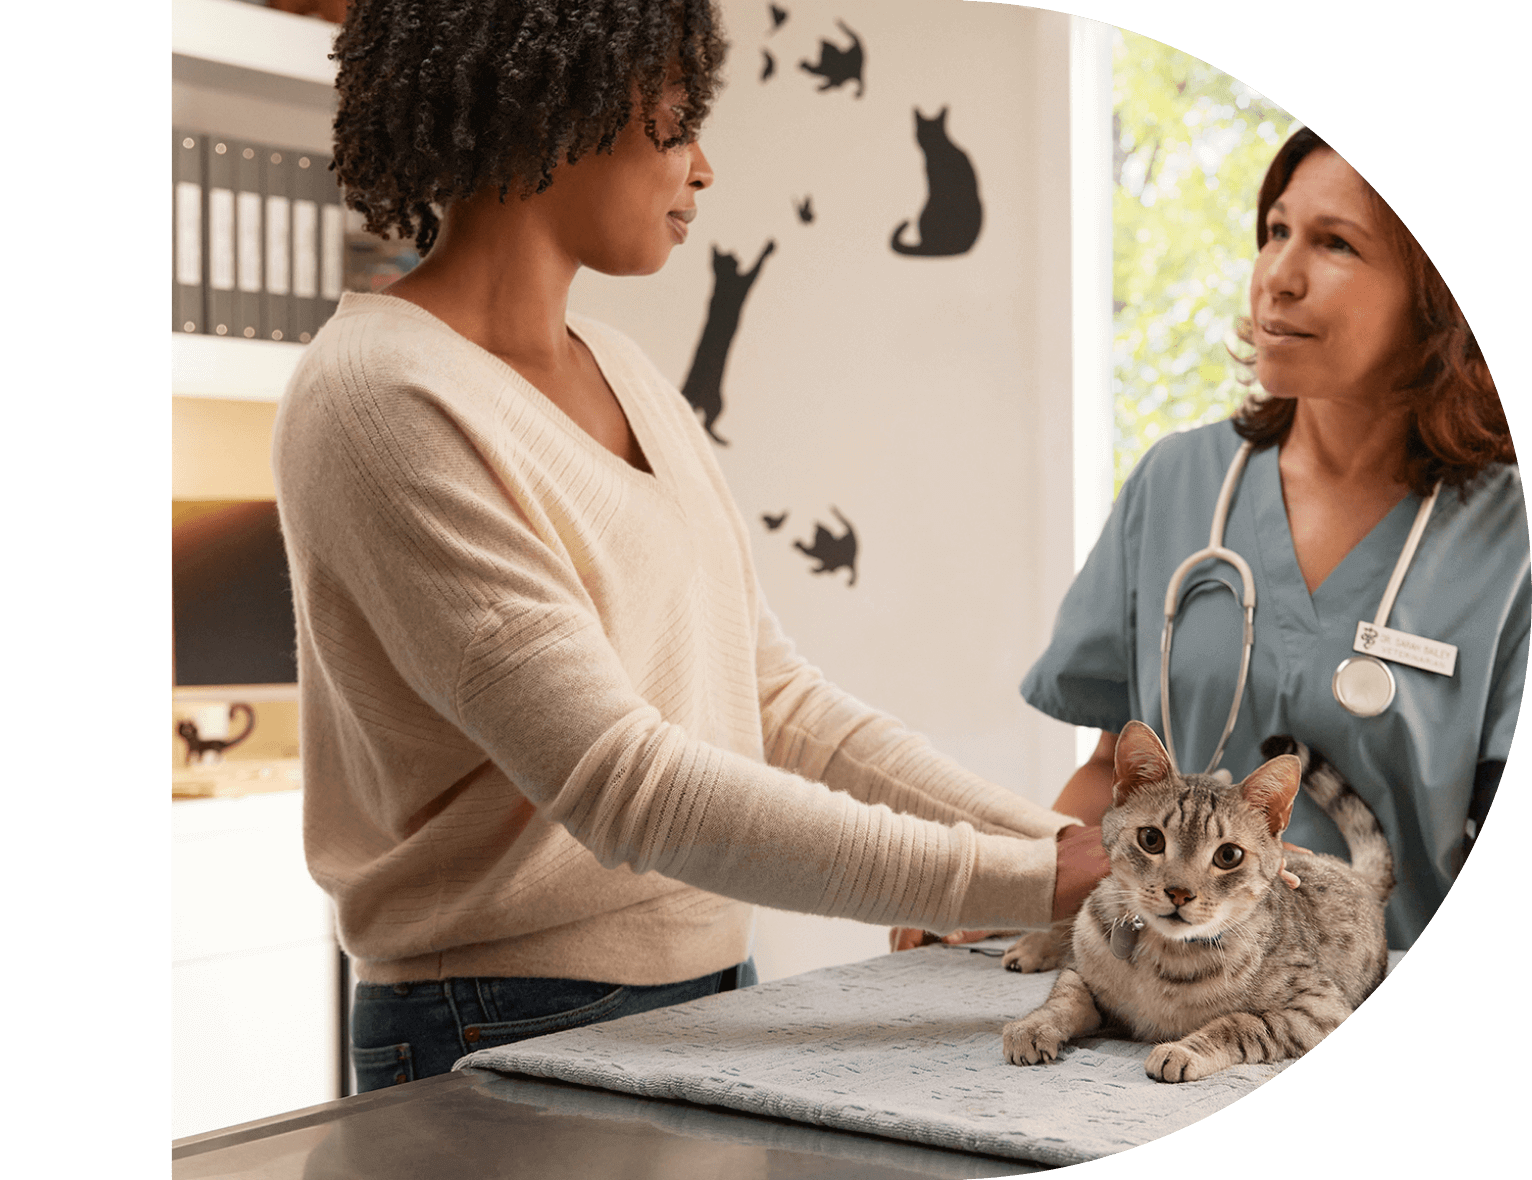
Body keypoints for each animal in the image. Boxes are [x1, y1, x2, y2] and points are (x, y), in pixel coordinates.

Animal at [998, 711, 1397, 1078]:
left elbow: (1243, 1024)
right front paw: (1034, 1024)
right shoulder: (1082, 970)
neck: (1159, 958)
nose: (1179, 892)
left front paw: (1185, 1050)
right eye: (1151, 839)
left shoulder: (1319, 1010)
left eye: (1228, 856)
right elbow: (1066, 996)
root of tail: (1353, 871)